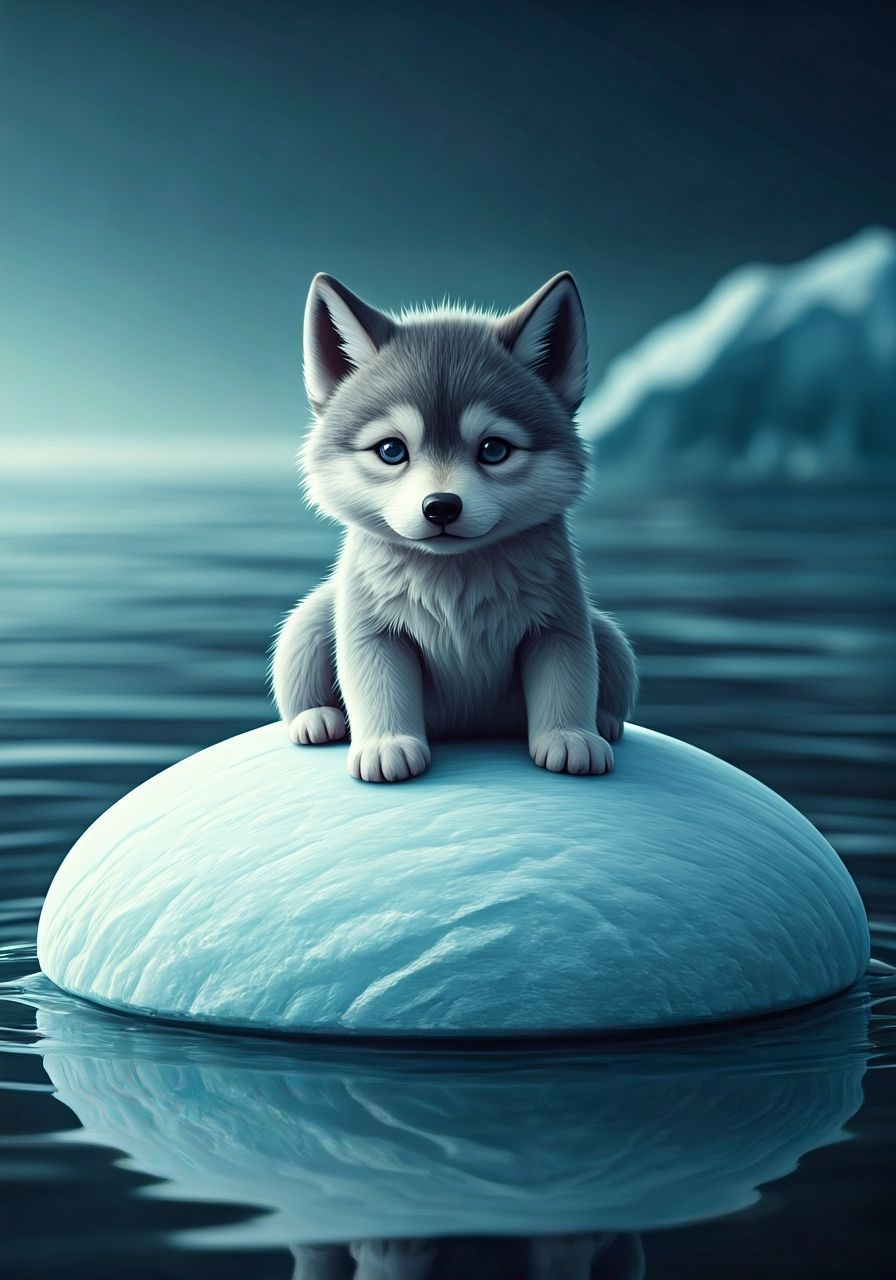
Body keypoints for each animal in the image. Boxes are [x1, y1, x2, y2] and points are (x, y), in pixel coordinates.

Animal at [271, 270, 638, 783]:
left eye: (493, 450)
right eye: (391, 451)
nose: (441, 507)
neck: (453, 579)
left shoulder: (559, 624)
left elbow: (569, 678)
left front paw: (570, 738)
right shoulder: (373, 631)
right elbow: (376, 685)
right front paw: (387, 745)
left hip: (610, 637)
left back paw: (604, 722)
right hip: (307, 624)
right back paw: (317, 719)